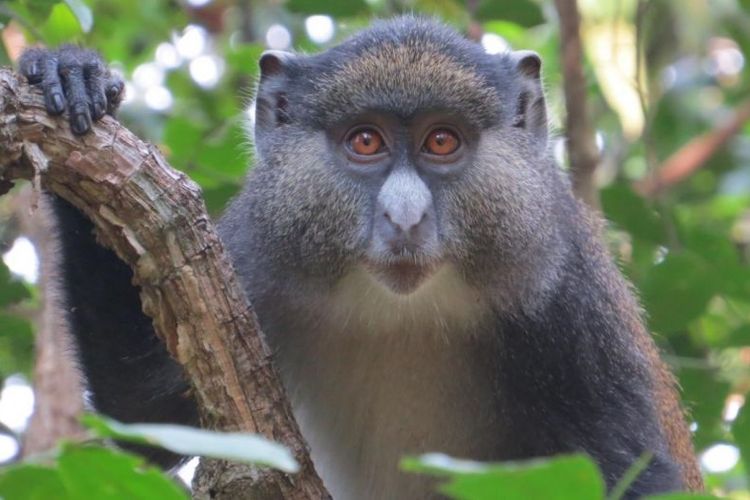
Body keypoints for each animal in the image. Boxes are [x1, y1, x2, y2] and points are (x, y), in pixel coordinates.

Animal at [22, 16, 704, 500]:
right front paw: (74, 77)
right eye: (367, 141)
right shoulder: (253, 262)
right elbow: (145, 412)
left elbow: (631, 472)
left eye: (441, 141)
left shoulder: (566, 286)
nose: (404, 217)